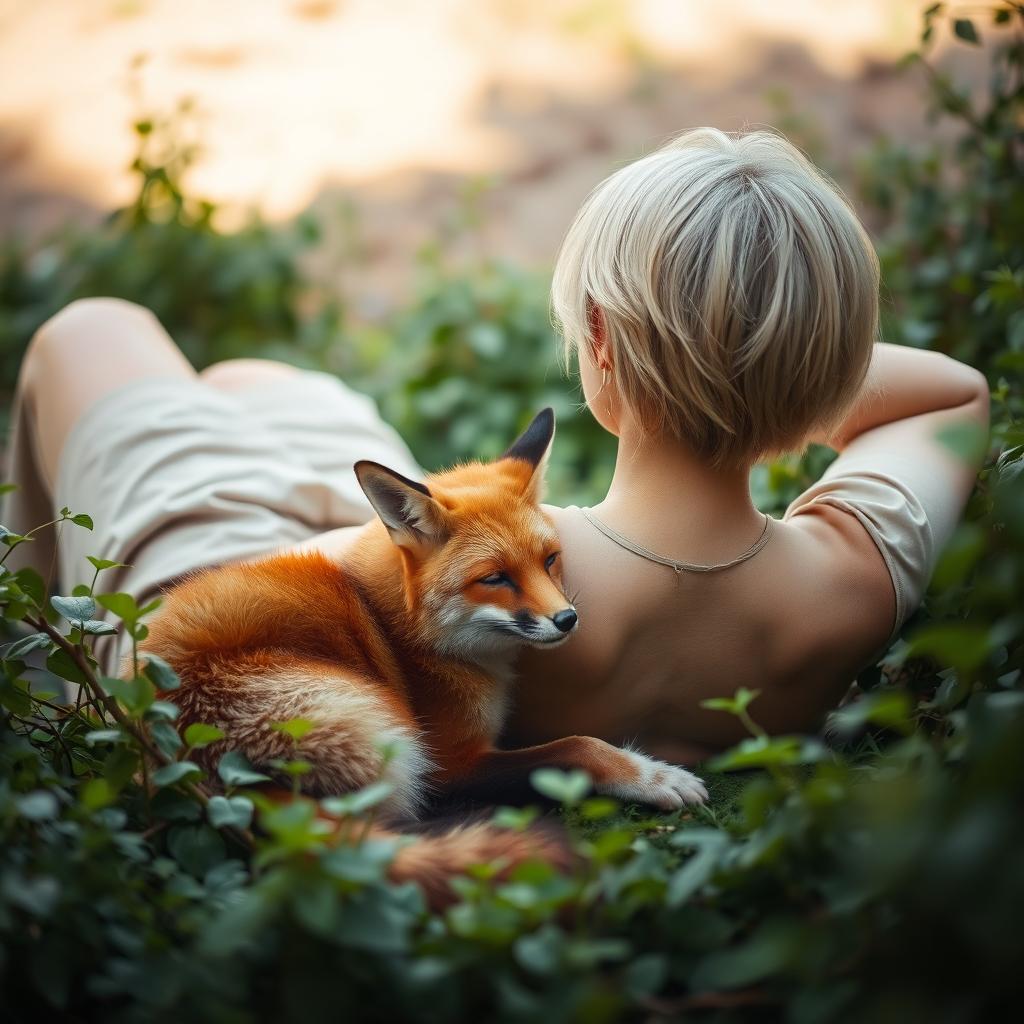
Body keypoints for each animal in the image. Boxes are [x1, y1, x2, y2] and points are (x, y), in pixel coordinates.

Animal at [144, 411, 704, 901]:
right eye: (495, 578)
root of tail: (210, 776)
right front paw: (653, 776)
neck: (396, 625)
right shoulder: (453, 764)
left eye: (549, 561)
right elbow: (578, 746)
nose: (567, 620)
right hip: (395, 738)